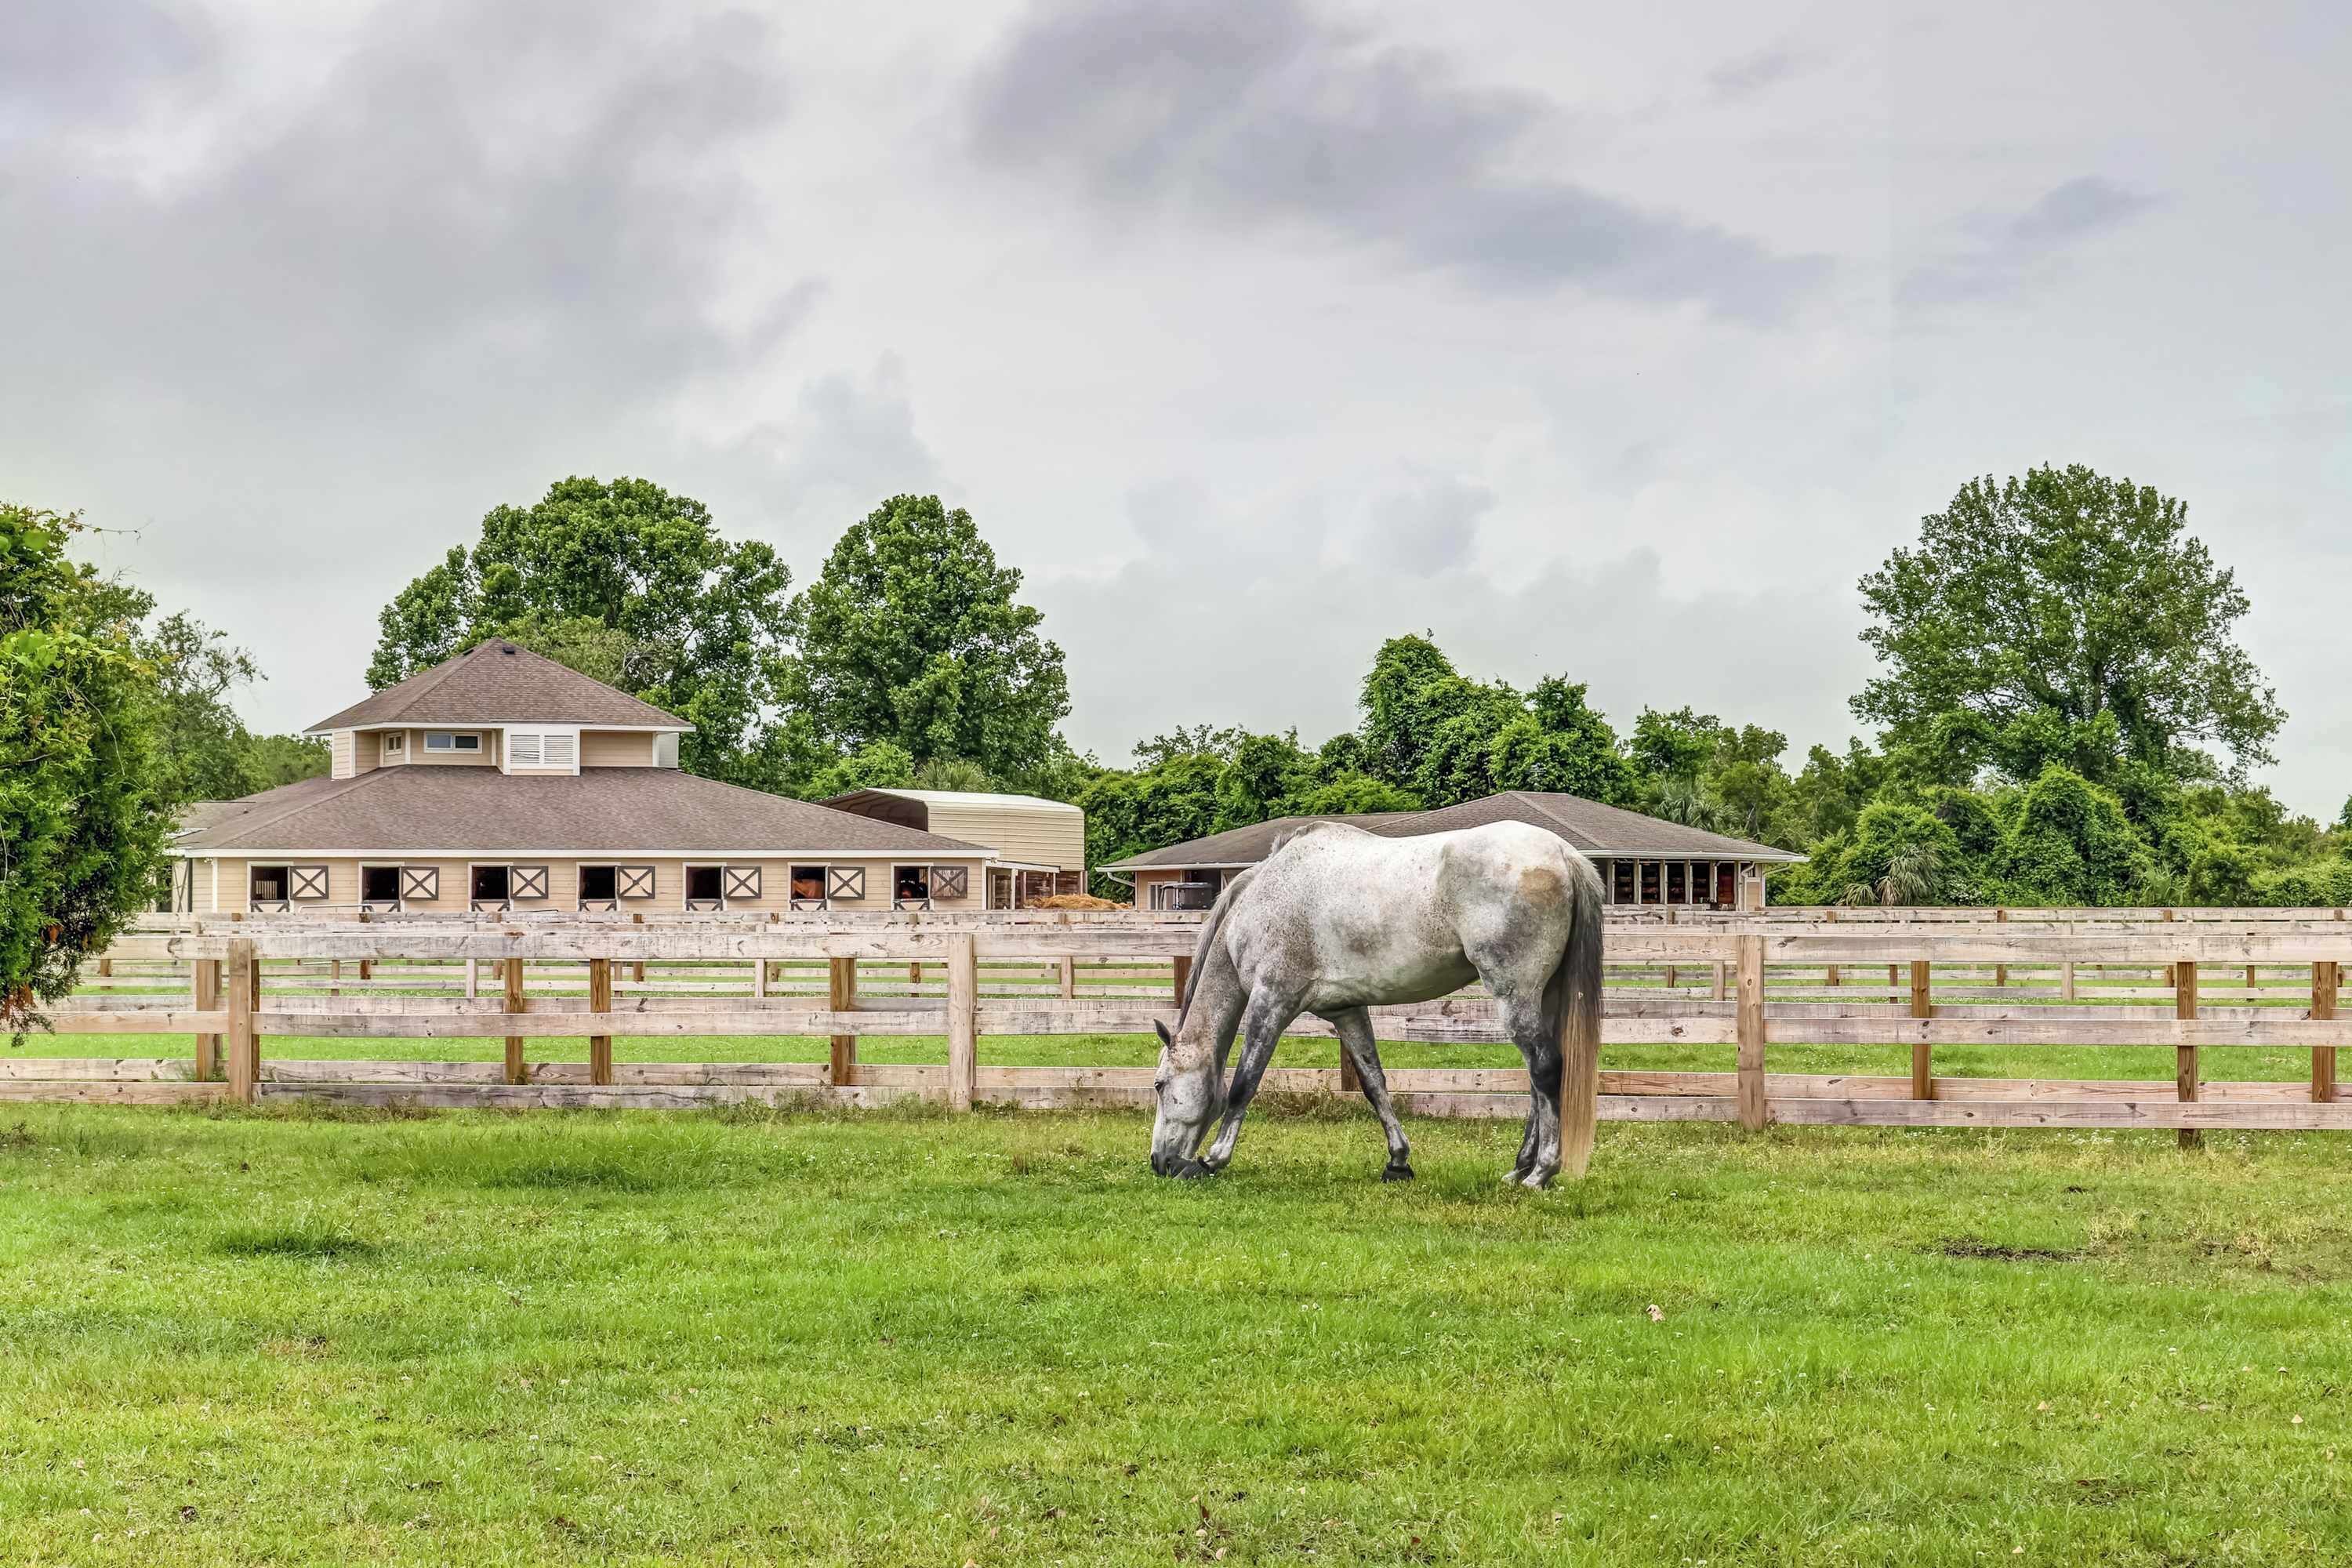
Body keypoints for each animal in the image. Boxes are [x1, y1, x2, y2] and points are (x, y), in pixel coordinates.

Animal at [1149, 819, 1606, 1188]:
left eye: (1159, 1084)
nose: (1160, 1163)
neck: (1266, 898)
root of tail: (1562, 853)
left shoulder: (1271, 1002)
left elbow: (1244, 1083)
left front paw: (1212, 1160)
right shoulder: (1345, 1011)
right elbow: (1374, 1084)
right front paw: (1398, 1162)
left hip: (1515, 994)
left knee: (1545, 1068)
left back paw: (1541, 1173)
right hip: (1543, 997)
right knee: (1537, 1081)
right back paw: (1519, 1168)